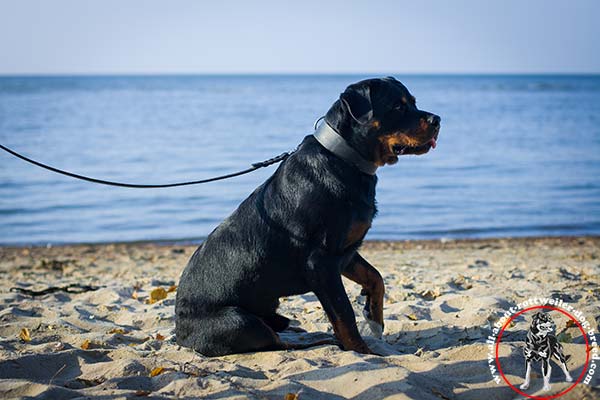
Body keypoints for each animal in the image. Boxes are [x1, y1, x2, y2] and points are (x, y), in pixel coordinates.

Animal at [173, 77, 440, 356]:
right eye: (397, 107)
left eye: (413, 102)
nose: (437, 120)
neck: (345, 159)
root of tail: (181, 335)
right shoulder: (321, 262)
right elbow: (344, 313)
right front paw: (361, 350)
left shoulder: (346, 251)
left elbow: (376, 277)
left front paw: (374, 317)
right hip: (239, 321)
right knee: (272, 341)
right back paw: (315, 340)